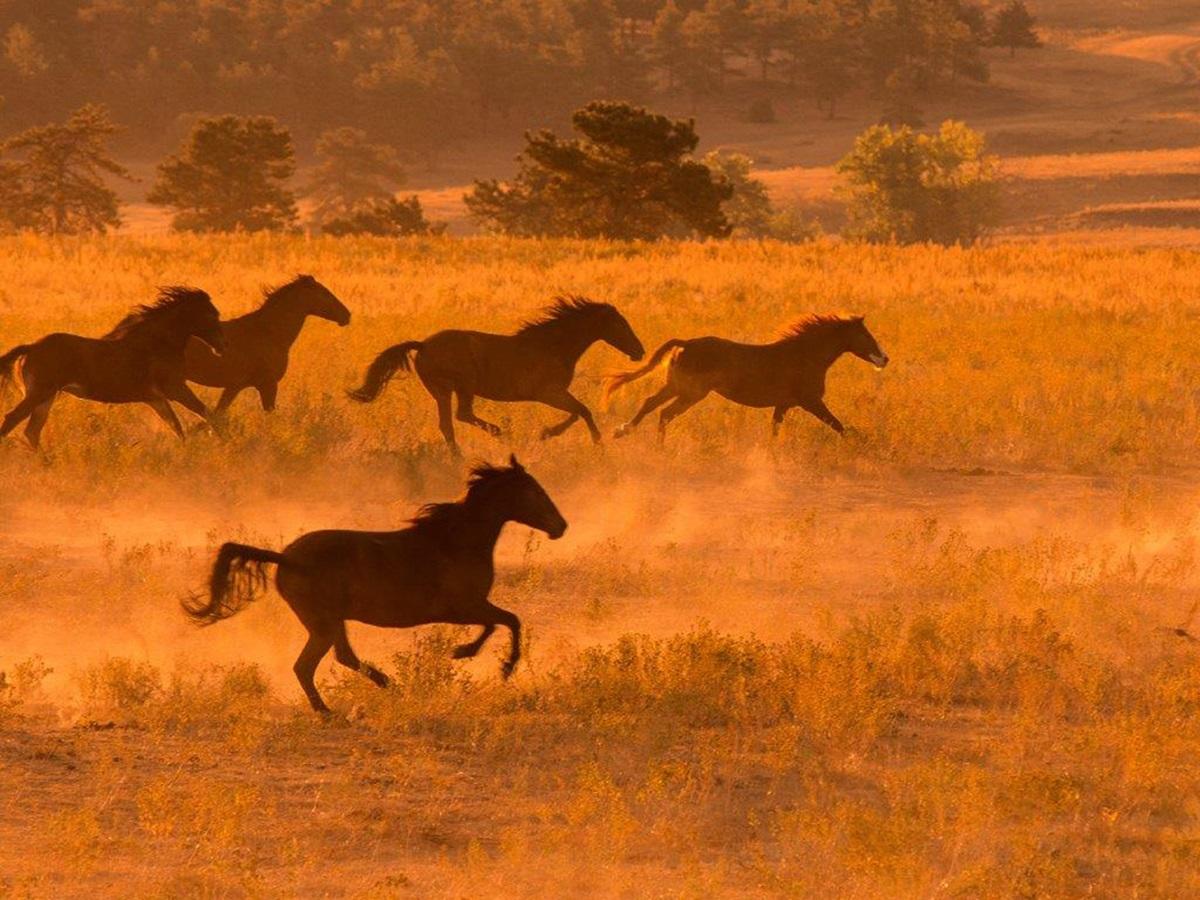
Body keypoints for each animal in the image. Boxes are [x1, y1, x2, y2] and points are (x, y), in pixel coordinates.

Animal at [0, 287, 224, 448]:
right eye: (212, 316)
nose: (222, 346)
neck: (156, 344)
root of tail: (31, 347)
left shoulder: (156, 398)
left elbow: (176, 426)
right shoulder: (175, 388)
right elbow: (207, 414)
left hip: (46, 396)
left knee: (32, 431)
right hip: (39, 393)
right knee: (13, 420)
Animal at [183, 455, 567, 715]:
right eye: (534, 491)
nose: (560, 526)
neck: (455, 541)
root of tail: (286, 558)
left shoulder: (468, 607)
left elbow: (504, 621)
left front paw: (471, 656)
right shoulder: (462, 607)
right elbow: (507, 621)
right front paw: (483, 660)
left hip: (331, 621)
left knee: (341, 657)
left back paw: (386, 685)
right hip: (322, 623)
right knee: (306, 666)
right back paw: (332, 711)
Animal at [348, 295, 645, 453]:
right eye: (620, 324)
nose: (640, 351)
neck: (552, 346)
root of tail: (422, 345)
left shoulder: (554, 393)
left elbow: (577, 412)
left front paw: (547, 433)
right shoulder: (549, 393)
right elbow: (582, 411)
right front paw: (595, 443)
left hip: (442, 391)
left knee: (448, 424)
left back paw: (462, 455)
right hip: (460, 386)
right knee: (461, 416)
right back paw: (501, 435)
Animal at [606, 315, 889, 441]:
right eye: (865, 335)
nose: (884, 359)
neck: (805, 355)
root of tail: (686, 343)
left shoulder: (783, 405)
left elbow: (774, 431)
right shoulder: (811, 402)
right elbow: (839, 426)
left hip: (676, 387)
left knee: (651, 404)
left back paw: (623, 431)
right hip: (690, 393)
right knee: (663, 412)